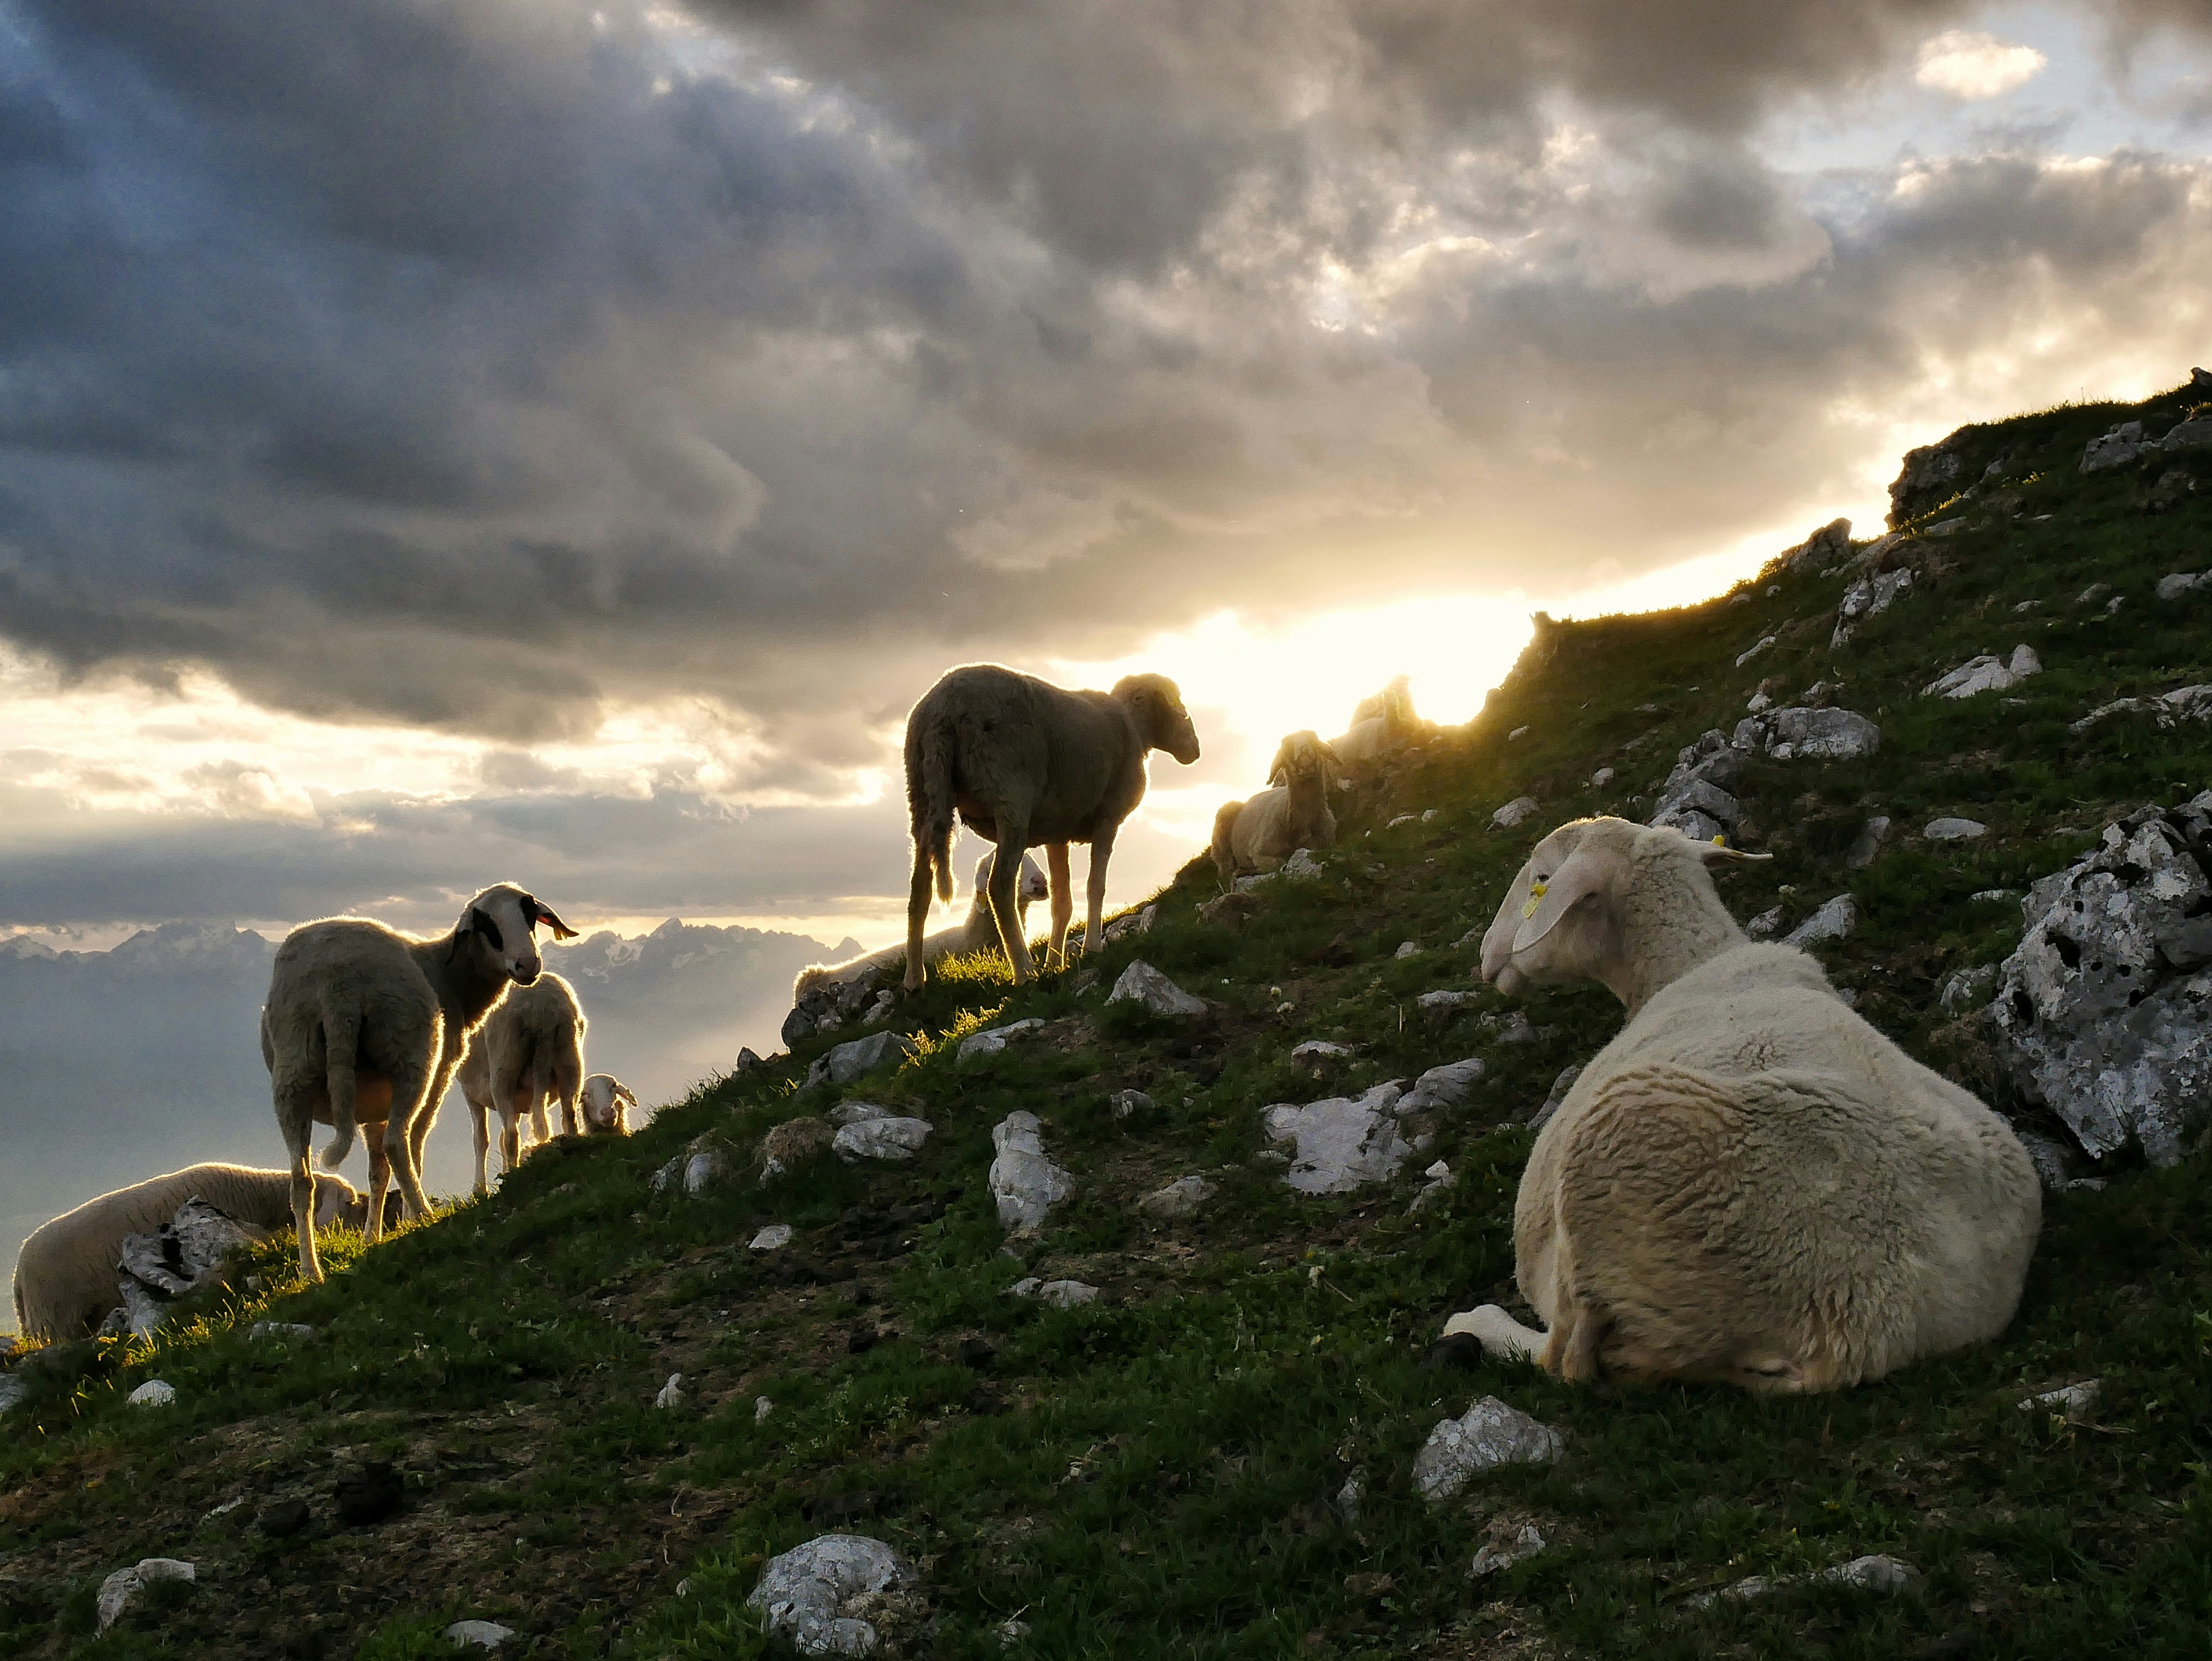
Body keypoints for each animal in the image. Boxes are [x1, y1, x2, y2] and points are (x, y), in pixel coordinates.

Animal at [455, 971, 587, 1195]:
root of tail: (543, 1010)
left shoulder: (471, 1093)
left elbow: (482, 1140)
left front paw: (479, 1190)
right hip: (570, 1060)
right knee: (569, 1116)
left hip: (504, 1068)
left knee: (511, 1135)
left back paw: (512, 1177)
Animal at [902, 663, 1201, 988]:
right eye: (1180, 704)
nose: (1195, 751)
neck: (1134, 728)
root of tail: (942, 710)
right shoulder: (1108, 819)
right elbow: (1096, 887)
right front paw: (1091, 950)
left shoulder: (1057, 833)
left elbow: (1062, 901)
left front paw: (1055, 963)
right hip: (1010, 797)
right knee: (1000, 887)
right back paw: (1024, 971)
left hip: (921, 795)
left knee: (919, 890)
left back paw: (914, 982)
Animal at [1210, 730, 1341, 880]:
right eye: (1288, 750)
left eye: (1314, 744)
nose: (1307, 765)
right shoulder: (1258, 851)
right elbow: (1281, 861)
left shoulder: (1328, 844)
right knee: (1225, 870)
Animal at [1446, 816, 2040, 1393]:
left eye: (1541, 877)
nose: (1485, 956)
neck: (1685, 965)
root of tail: (1864, 1338)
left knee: (1564, 1359)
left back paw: (1473, 1326)